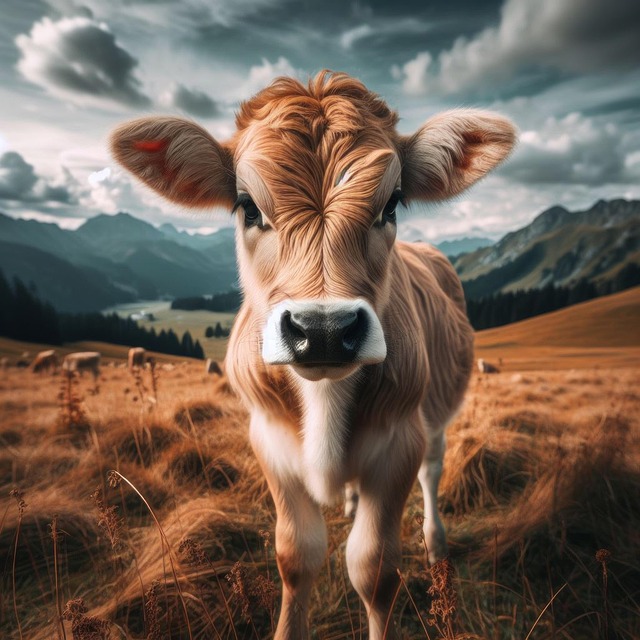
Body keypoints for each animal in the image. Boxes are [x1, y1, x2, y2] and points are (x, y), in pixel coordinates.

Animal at [111, 70, 516, 640]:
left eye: (392, 204)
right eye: (247, 206)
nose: (323, 330)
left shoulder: (399, 442)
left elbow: (373, 569)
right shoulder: (269, 441)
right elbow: (296, 555)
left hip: (437, 413)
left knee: (433, 472)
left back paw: (436, 546)